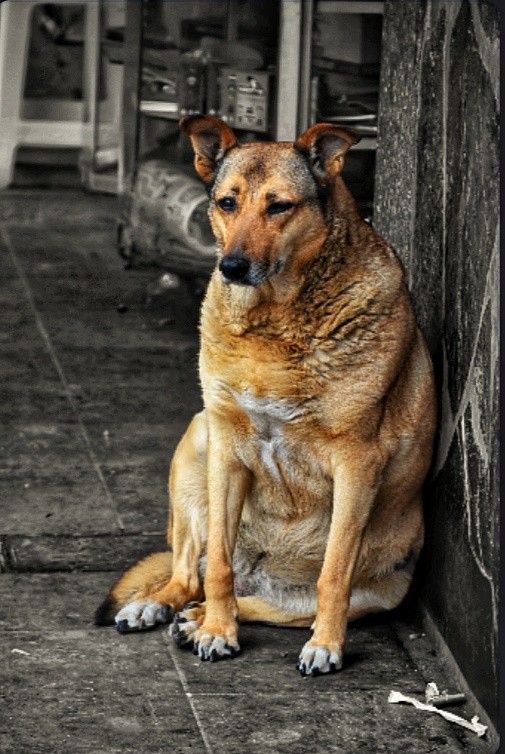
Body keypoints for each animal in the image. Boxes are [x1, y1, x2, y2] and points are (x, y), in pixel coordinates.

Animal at [96, 117, 436, 676]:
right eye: (227, 203)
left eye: (280, 206)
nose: (231, 266)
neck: (275, 320)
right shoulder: (228, 448)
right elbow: (218, 568)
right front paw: (218, 630)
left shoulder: (357, 465)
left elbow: (334, 574)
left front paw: (326, 645)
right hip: (197, 442)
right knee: (193, 574)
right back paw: (169, 608)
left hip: (374, 592)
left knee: (272, 602)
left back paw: (198, 619)